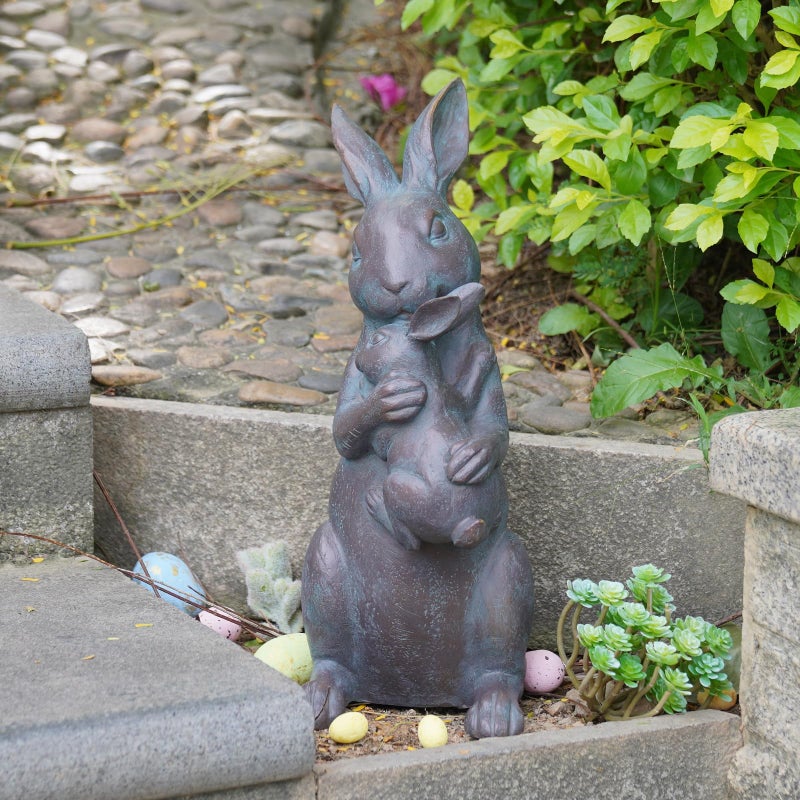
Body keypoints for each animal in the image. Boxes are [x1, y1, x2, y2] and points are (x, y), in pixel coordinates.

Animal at [354, 281, 504, 551]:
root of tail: (466, 524)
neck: (422, 377)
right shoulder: (454, 396)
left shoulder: (384, 435)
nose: (358, 362)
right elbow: (469, 386)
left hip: (395, 486)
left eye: (377, 340)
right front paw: (485, 353)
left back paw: (375, 504)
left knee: (409, 540)